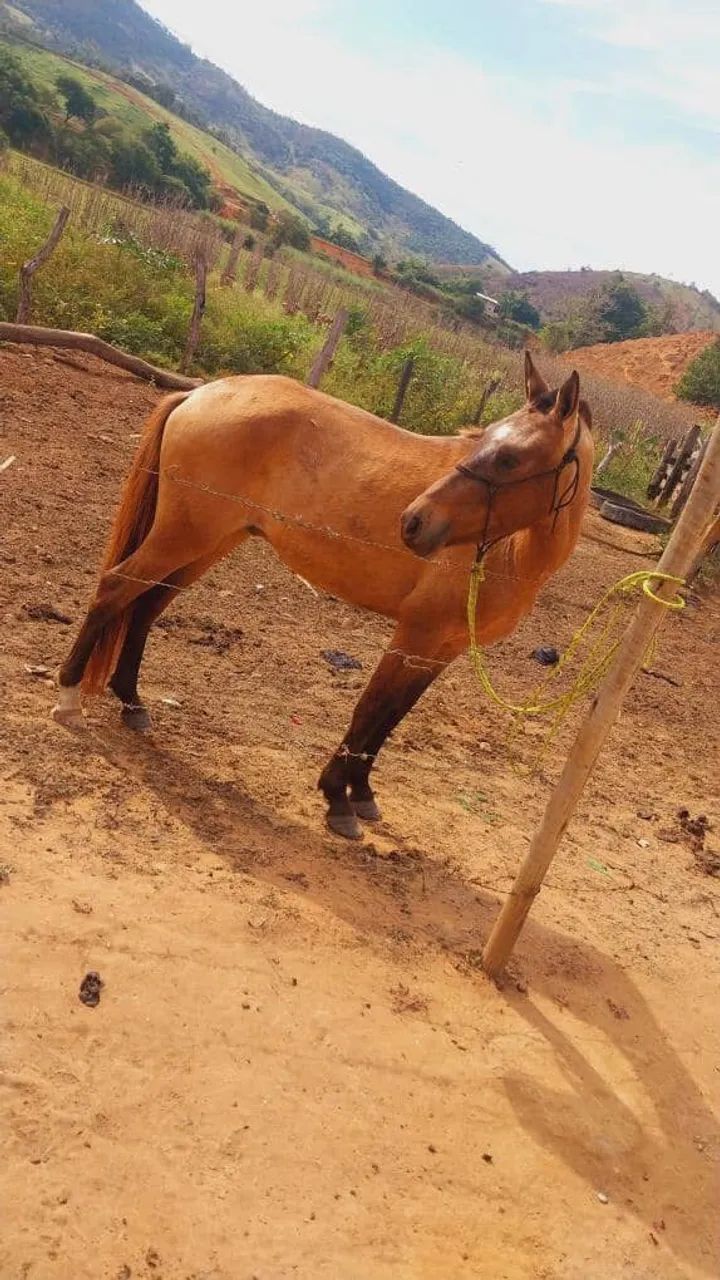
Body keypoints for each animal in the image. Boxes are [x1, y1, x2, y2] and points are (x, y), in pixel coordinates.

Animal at [53, 352, 594, 840]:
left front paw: (363, 793)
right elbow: (370, 710)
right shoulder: (415, 634)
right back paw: (68, 698)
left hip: (209, 542)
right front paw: (338, 798)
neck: (511, 550)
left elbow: (392, 718)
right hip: (182, 536)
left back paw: (132, 703)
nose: (414, 522)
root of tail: (201, 393)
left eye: (510, 457)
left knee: (145, 606)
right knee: (114, 590)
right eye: (485, 439)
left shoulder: (443, 650)